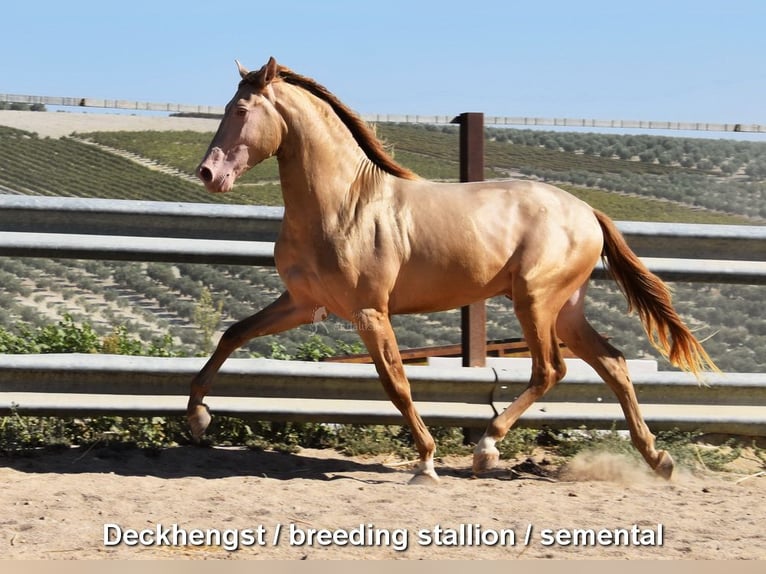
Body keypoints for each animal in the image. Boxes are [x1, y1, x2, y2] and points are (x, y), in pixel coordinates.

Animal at [192, 55, 720, 486]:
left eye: (240, 111)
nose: (208, 174)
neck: (344, 204)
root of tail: (587, 211)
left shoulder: (370, 312)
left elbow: (396, 383)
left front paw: (425, 463)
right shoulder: (302, 304)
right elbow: (233, 334)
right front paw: (198, 417)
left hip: (535, 301)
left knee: (551, 368)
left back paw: (487, 449)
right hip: (565, 309)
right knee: (612, 363)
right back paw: (658, 460)